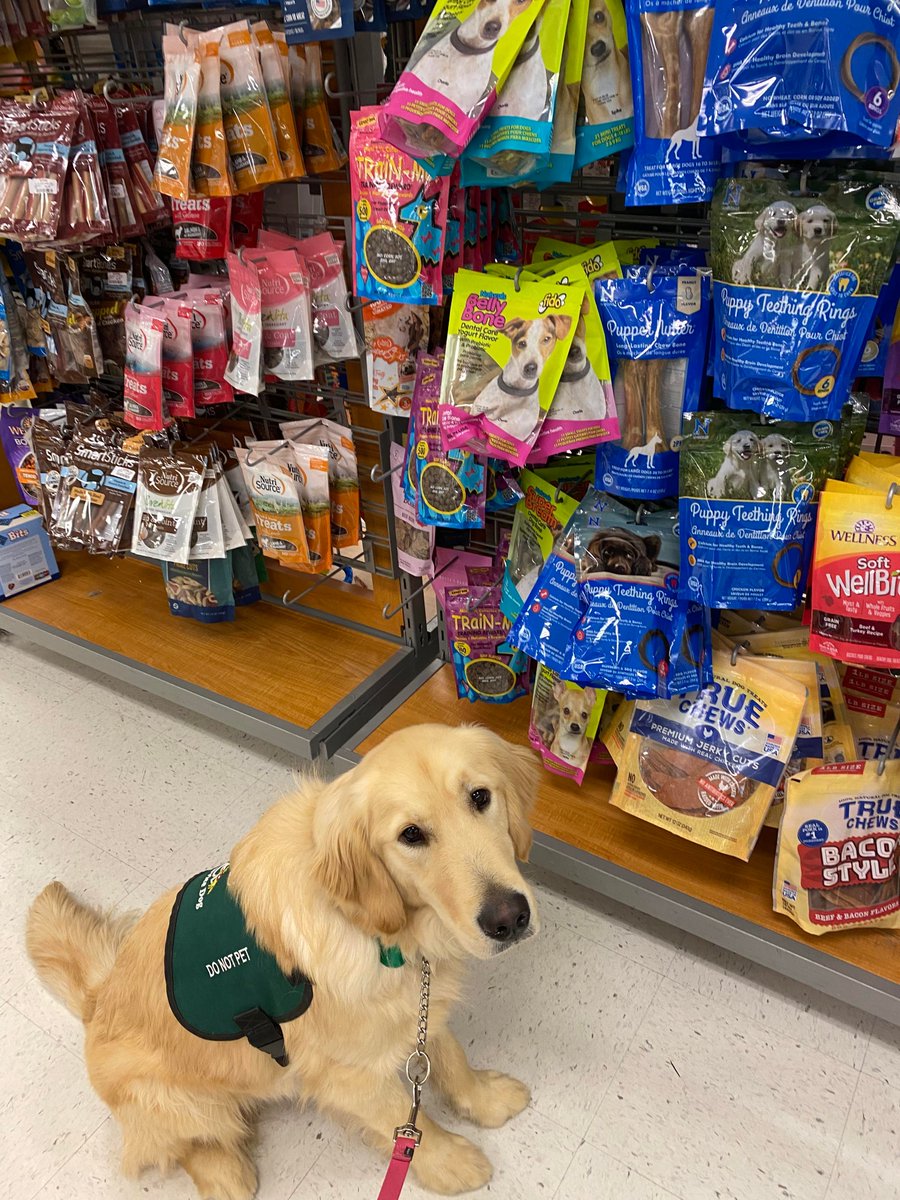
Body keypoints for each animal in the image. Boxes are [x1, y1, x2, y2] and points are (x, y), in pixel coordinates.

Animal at [24, 720, 540, 1200]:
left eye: (480, 796)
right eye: (410, 835)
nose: (509, 918)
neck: (371, 929)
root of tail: (95, 1002)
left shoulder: (416, 1003)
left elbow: (450, 1056)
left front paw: (484, 1097)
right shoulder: (347, 1076)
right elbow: (409, 1121)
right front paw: (450, 1161)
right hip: (178, 1101)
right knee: (181, 1145)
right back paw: (225, 1174)